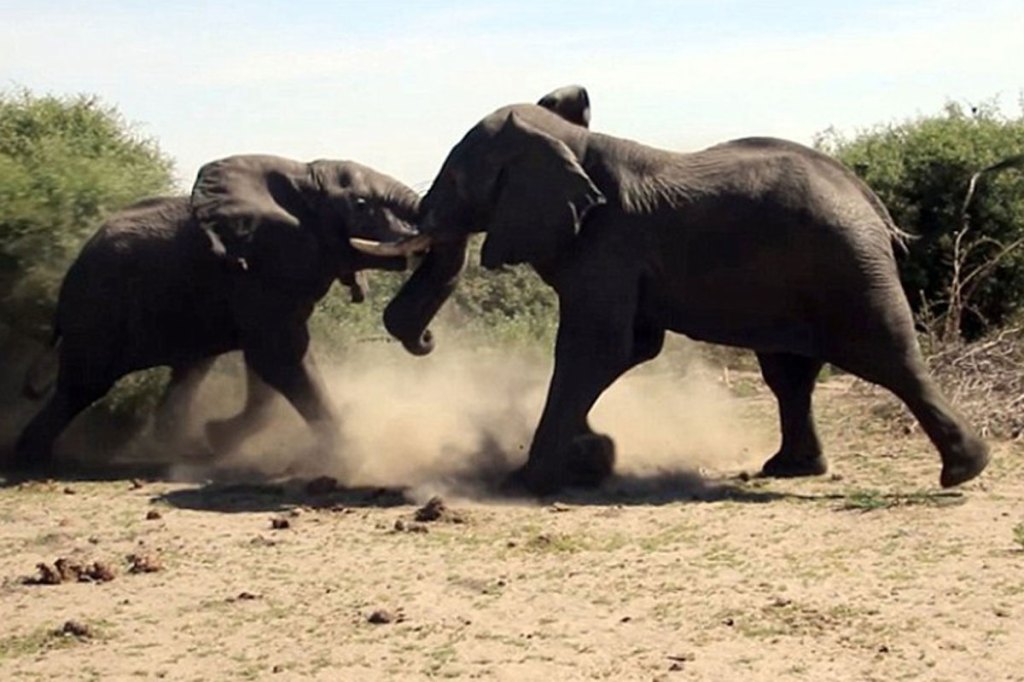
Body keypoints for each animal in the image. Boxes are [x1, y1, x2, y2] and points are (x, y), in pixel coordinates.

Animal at [14, 155, 422, 475]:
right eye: (361, 203)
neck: (301, 177)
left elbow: (268, 365)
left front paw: (218, 436)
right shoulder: (251, 273)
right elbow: (280, 355)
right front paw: (348, 454)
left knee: (188, 370)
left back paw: (188, 450)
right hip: (98, 307)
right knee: (84, 384)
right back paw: (33, 461)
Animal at [378, 86, 990, 495]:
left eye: (459, 179)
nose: (425, 340)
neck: (573, 140)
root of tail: (868, 199)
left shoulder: (608, 246)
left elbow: (595, 348)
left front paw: (526, 481)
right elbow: (627, 349)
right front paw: (593, 456)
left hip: (845, 267)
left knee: (886, 355)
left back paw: (962, 470)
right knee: (789, 373)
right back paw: (790, 469)